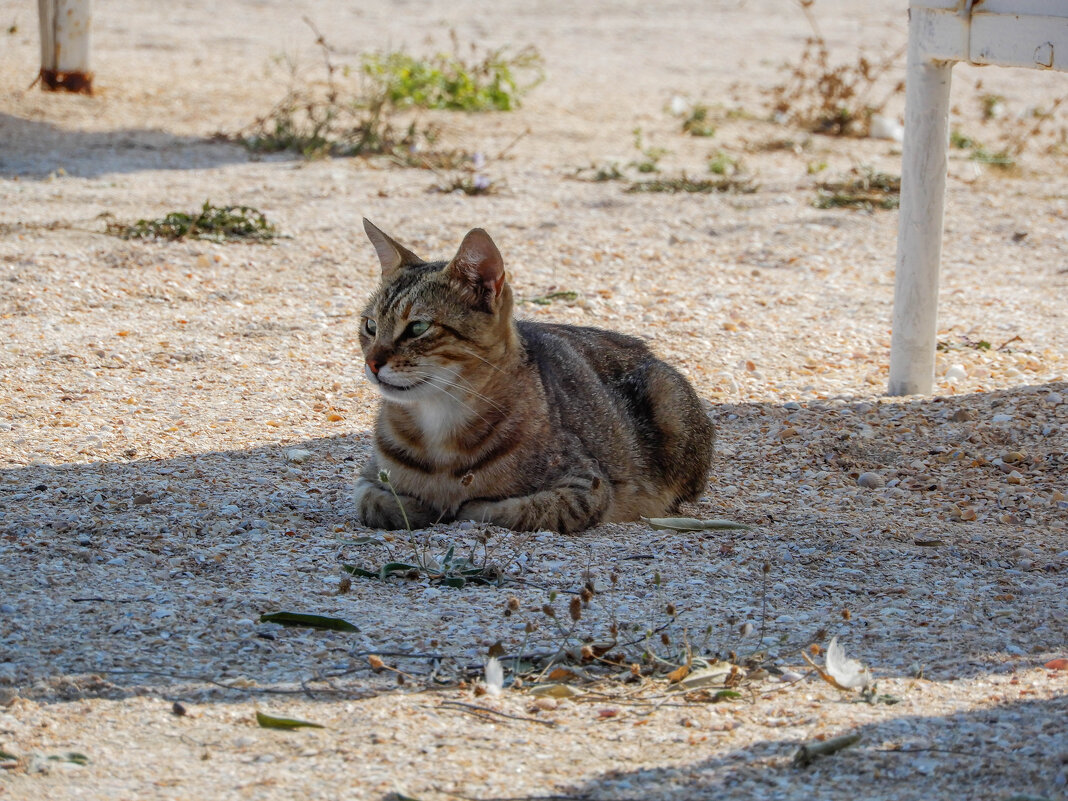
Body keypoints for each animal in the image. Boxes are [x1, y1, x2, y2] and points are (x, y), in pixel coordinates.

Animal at [354, 221, 713, 534]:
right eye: (370, 326)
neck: (438, 429)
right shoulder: (368, 479)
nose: (372, 363)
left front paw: (460, 506)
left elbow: (509, 509)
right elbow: (374, 503)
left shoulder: (587, 487)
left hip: (665, 396)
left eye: (418, 327)